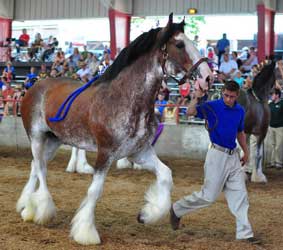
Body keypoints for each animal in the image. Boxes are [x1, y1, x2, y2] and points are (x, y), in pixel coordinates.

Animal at [16, 13, 213, 244]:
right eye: (180, 44)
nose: (207, 77)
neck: (124, 98)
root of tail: (35, 86)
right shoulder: (105, 153)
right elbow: (95, 191)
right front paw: (86, 233)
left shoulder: (139, 152)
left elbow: (166, 174)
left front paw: (148, 214)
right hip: (37, 137)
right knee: (41, 169)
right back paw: (42, 210)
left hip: (54, 140)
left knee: (35, 167)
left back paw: (27, 207)